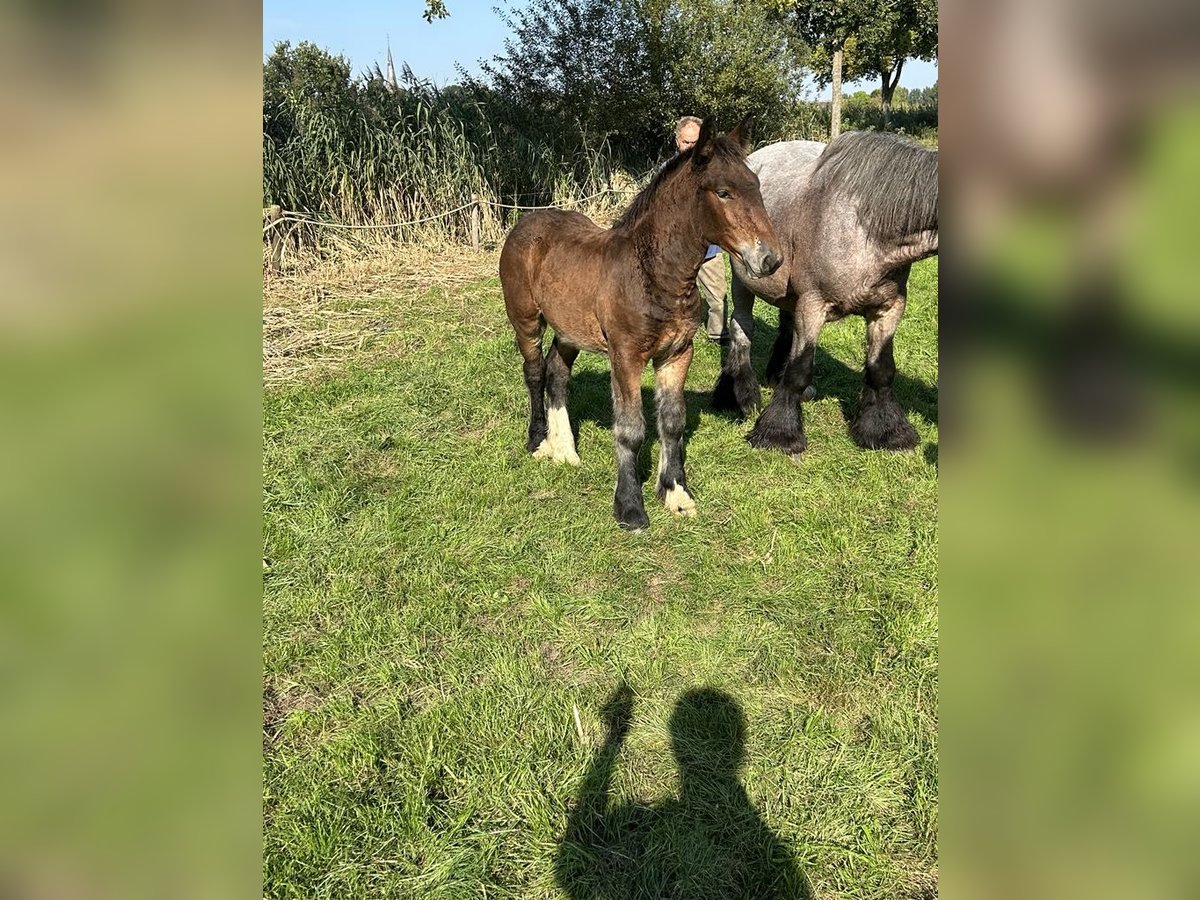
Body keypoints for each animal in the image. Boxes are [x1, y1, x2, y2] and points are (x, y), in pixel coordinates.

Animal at [501, 117, 782, 532]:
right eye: (724, 192)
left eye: (756, 185)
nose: (771, 259)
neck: (654, 274)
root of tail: (528, 220)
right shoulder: (626, 357)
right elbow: (631, 429)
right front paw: (630, 507)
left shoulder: (677, 354)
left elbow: (673, 422)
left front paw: (676, 493)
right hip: (526, 320)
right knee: (535, 373)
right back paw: (538, 441)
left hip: (570, 329)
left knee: (557, 373)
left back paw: (564, 448)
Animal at [710, 132, 936, 458]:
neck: (865, 226)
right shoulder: (813, 305)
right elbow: (799, 369)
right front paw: (779, 434)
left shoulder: (888, 308)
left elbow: (881, 370)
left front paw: (886, 431)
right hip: (744, 281)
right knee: (742, 329)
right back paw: (738, 397)